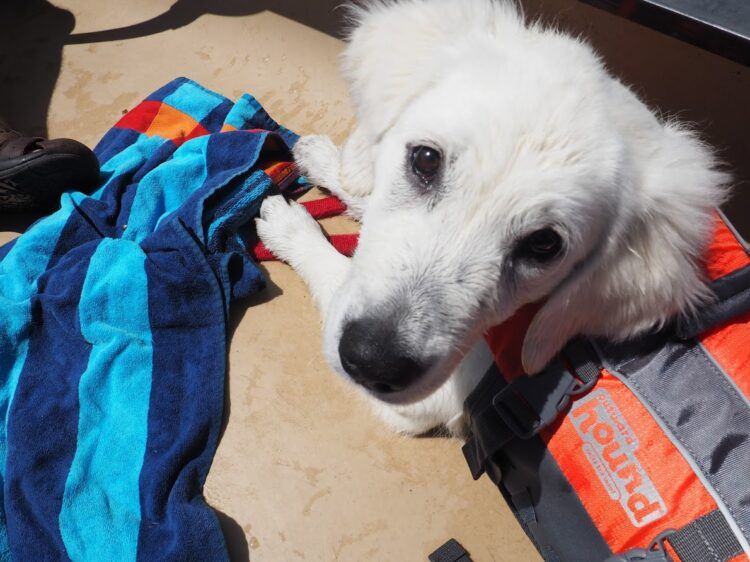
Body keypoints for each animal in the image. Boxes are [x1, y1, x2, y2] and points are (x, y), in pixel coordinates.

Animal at [256, 0, 732, 436]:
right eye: (425, 159)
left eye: (544, 245)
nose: (373, 362)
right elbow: (366, 196)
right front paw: (331, 163)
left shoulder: (429, 401)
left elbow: (336, 272)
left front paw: (290, 228)